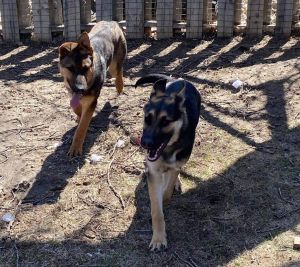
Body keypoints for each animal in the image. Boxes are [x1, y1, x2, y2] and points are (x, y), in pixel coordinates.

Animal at [58, 22, 126, 159]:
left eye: (85, 68)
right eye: (70, 68)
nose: (80, 89)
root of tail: (112, 22)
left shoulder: (91, 102)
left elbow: (82, 127)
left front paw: (76, 147)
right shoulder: (73, 95)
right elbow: (76, 108)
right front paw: (79, 116)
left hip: (114, 65)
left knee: (119, 72)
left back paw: (119, 85)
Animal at [136, 74, 202, 252]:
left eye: (165, 122)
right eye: (147, 118)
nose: (145, 143)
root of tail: (175, 78)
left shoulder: (174, 166)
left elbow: (166, 192)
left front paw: (166, 195)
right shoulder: (154, 172)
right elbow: (156, 210)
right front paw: (158, 238)